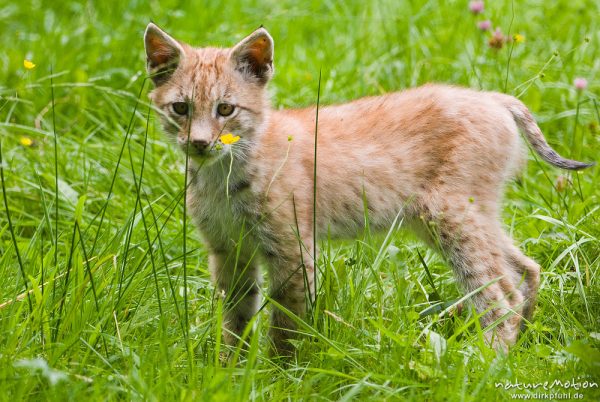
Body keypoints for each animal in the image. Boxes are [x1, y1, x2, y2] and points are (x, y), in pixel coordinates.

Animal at [144, 23, 592, 354]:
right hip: (465, 213)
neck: (219, 172)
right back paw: (522, 347)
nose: (199, 143)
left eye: (226, 109)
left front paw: (279, 377)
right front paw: (227, 371)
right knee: (526, 267)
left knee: (501, 295)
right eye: (180, 109)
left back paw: (483, 366)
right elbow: (235, 319)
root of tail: (493, 99)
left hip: (449, 214)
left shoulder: (292, 249)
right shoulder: (229, 250)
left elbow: (286, 324)